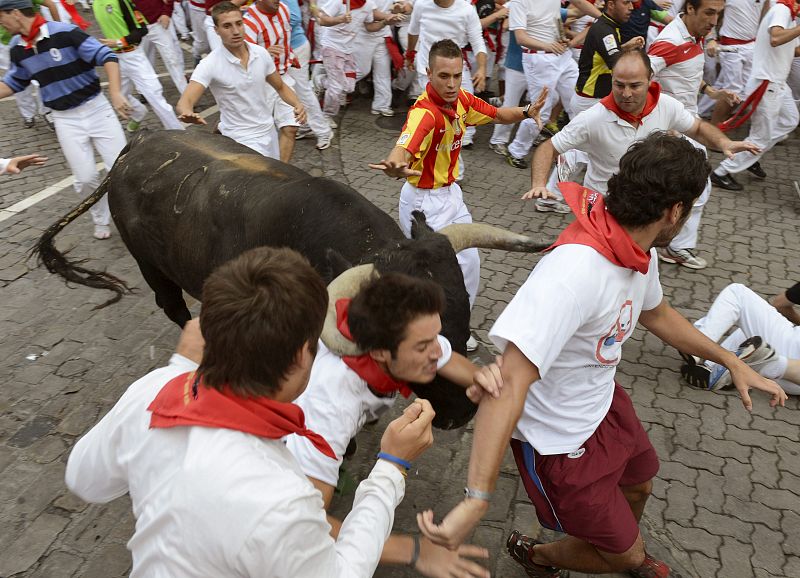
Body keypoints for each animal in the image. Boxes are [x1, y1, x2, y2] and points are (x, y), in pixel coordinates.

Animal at [36, 129, 552, 428]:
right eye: (406, 341)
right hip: (152, 267)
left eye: (464, 315)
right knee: (173, 307)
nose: (463, 412)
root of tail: (136, 144)